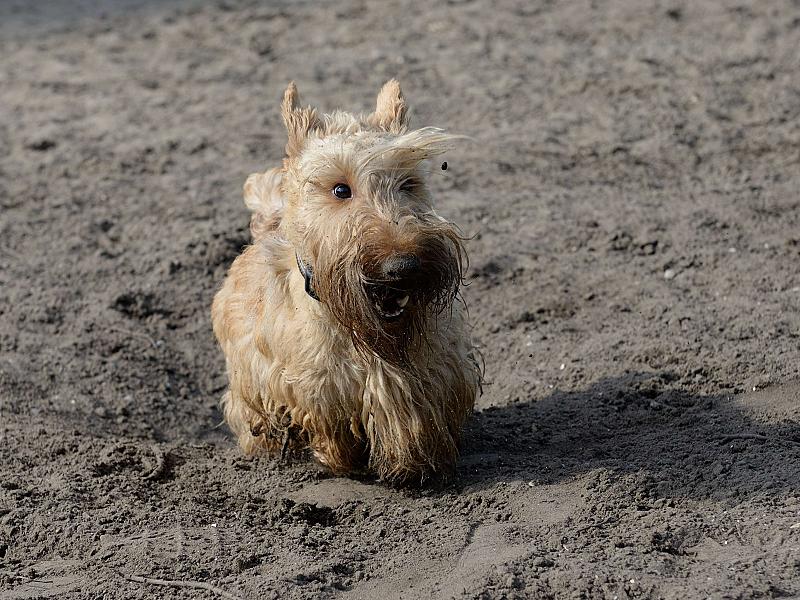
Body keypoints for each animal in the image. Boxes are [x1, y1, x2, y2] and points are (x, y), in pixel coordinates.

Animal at [212, 80, 481, 482]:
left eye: (408, 183)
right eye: (341, 189)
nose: (404, 266)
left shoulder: (442, 370)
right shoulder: (319, 391)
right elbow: (334, 438)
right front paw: (341, 461)